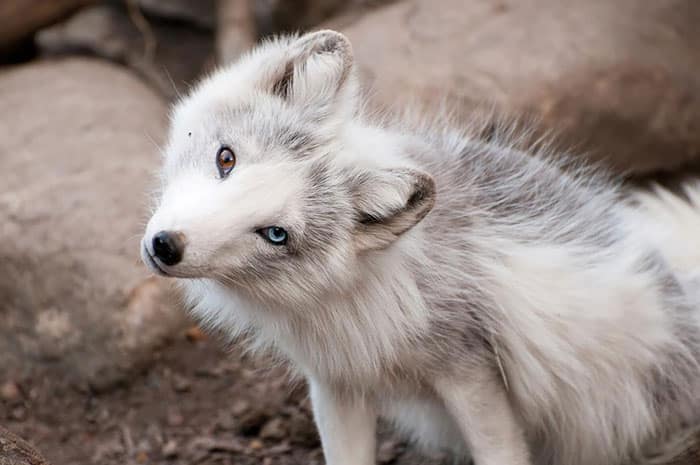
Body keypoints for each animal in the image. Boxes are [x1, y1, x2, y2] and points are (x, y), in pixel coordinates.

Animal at [141, 29, 700, 464]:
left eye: (276, 234)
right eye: (226, 159)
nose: (165, 246)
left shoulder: (468, 371)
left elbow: (500, 452)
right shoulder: (336, 382)